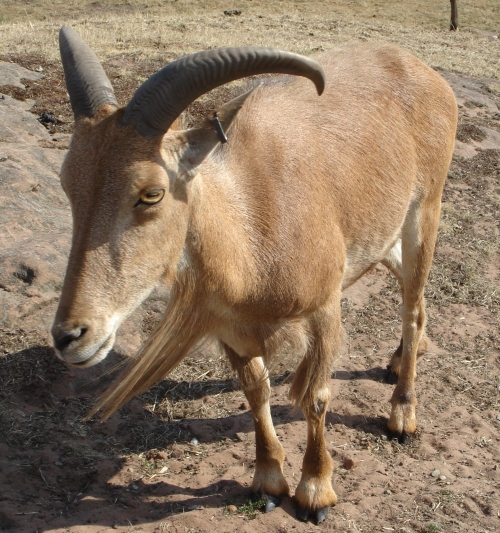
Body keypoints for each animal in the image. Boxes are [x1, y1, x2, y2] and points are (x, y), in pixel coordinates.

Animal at [51, 26, 458, 524]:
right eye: (69, 184)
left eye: (151, 193)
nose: (70, 336)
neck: (250, 234)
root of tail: (424, 70)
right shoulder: (232, 327)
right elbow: (255, 392)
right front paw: (267, 479)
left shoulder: (324, 309)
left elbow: (316, 397)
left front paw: (315, 492)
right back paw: (401, 358)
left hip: (425, 211)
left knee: (413, 307)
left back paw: (402, 413)